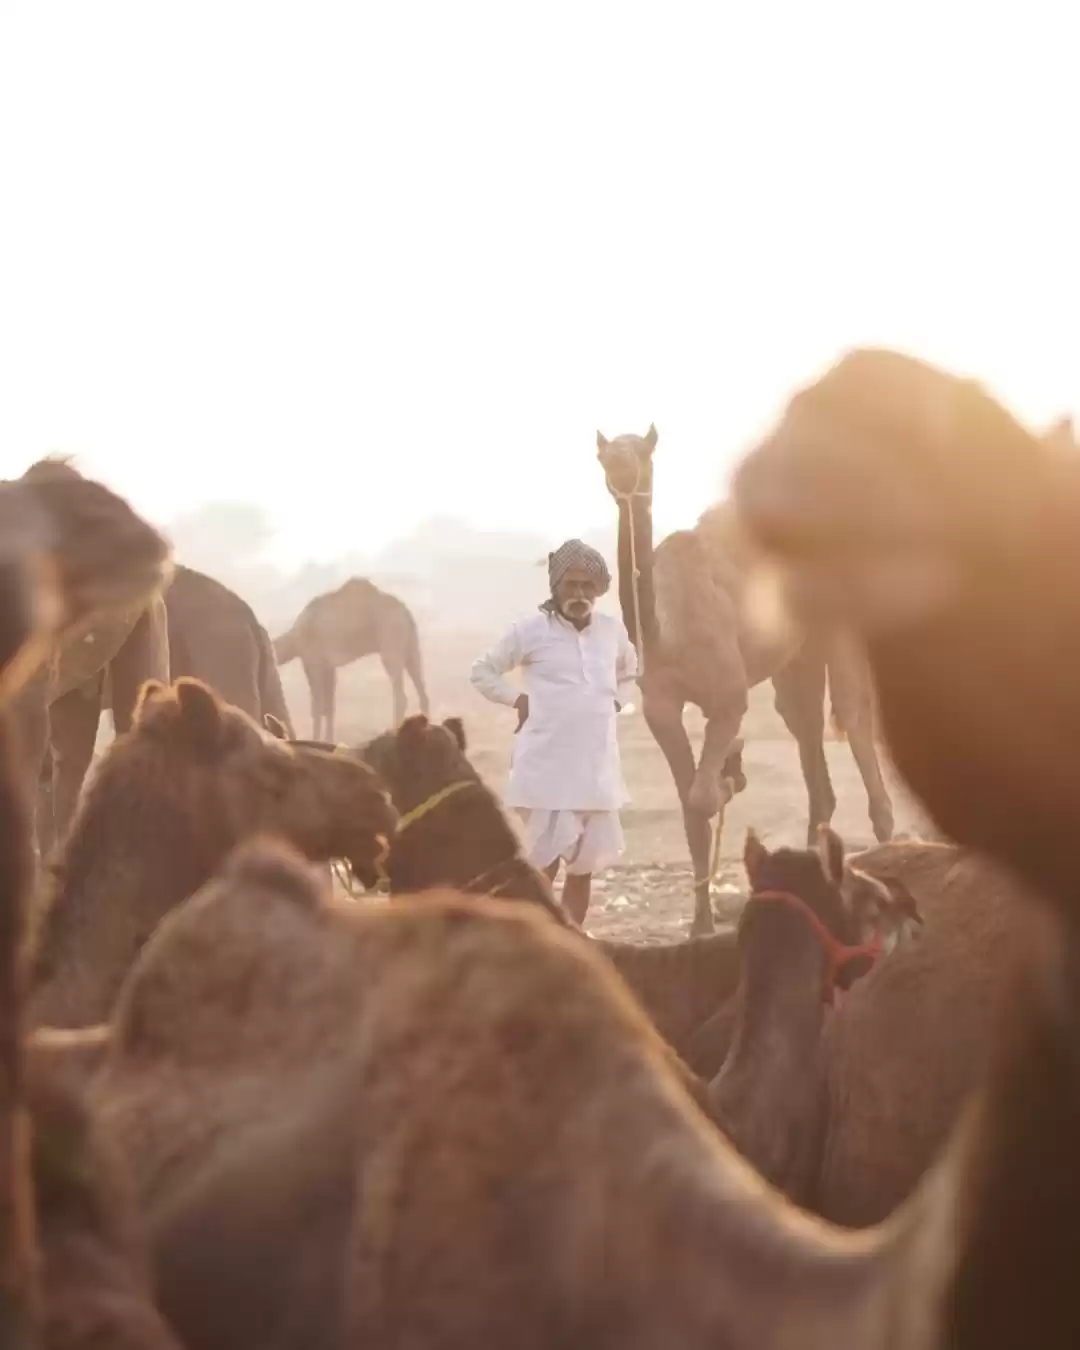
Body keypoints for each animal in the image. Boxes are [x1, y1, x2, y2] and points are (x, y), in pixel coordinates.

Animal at [273, 577, 429, 739]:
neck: (295, 638)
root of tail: (406, 612)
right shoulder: (329, 667)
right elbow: (329, 707)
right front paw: (329, 740)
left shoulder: (313, 660)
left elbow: (317, 706)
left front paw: (316, 739)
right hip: (411, 645)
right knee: (422, 691)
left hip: (391, 641)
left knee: (401, 696)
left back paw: (395, 732)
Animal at [596, 424, 895, 935]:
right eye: (604, 453)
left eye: (641, 452)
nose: (617, 468)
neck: (667, 631)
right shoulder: (660, 705)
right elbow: (688, 808)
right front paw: (700, 922)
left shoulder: (728, 697)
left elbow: (700, 796)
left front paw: (731, 774)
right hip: (798, 653)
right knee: (806, 732)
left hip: (837, 618)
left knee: (853, 714)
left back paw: (887, 838)